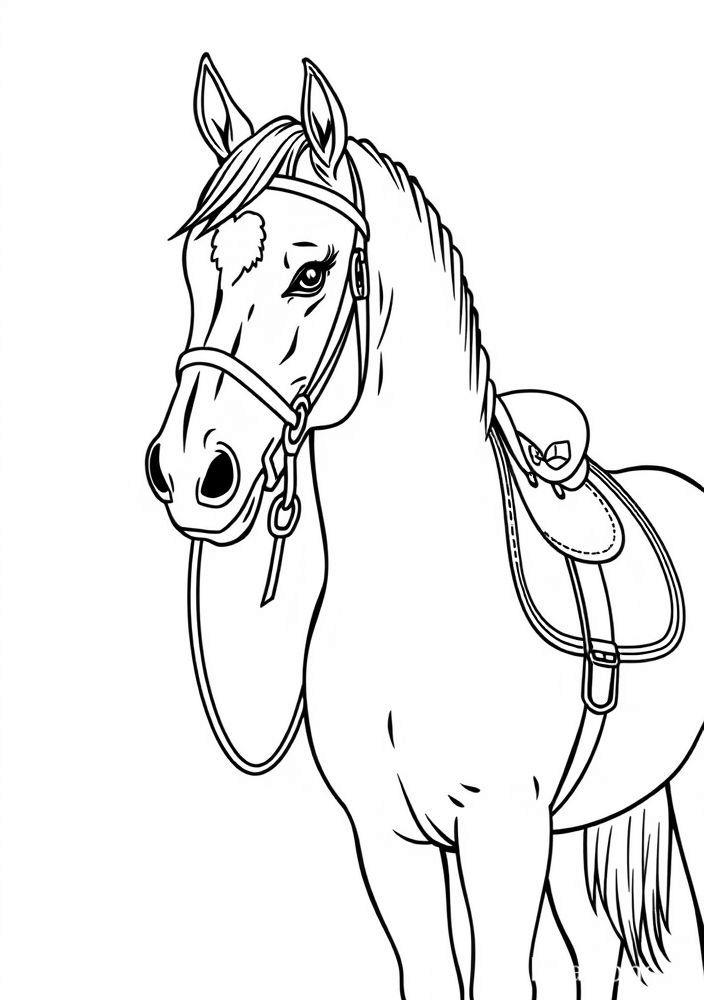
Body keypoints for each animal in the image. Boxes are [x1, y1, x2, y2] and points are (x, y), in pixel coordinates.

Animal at [146, 55, 704, 999]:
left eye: (310, 273)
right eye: (198, 265)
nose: (192, 474)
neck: (420, 596)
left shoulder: (504, 836)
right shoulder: (390, 840)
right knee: (596, 950)